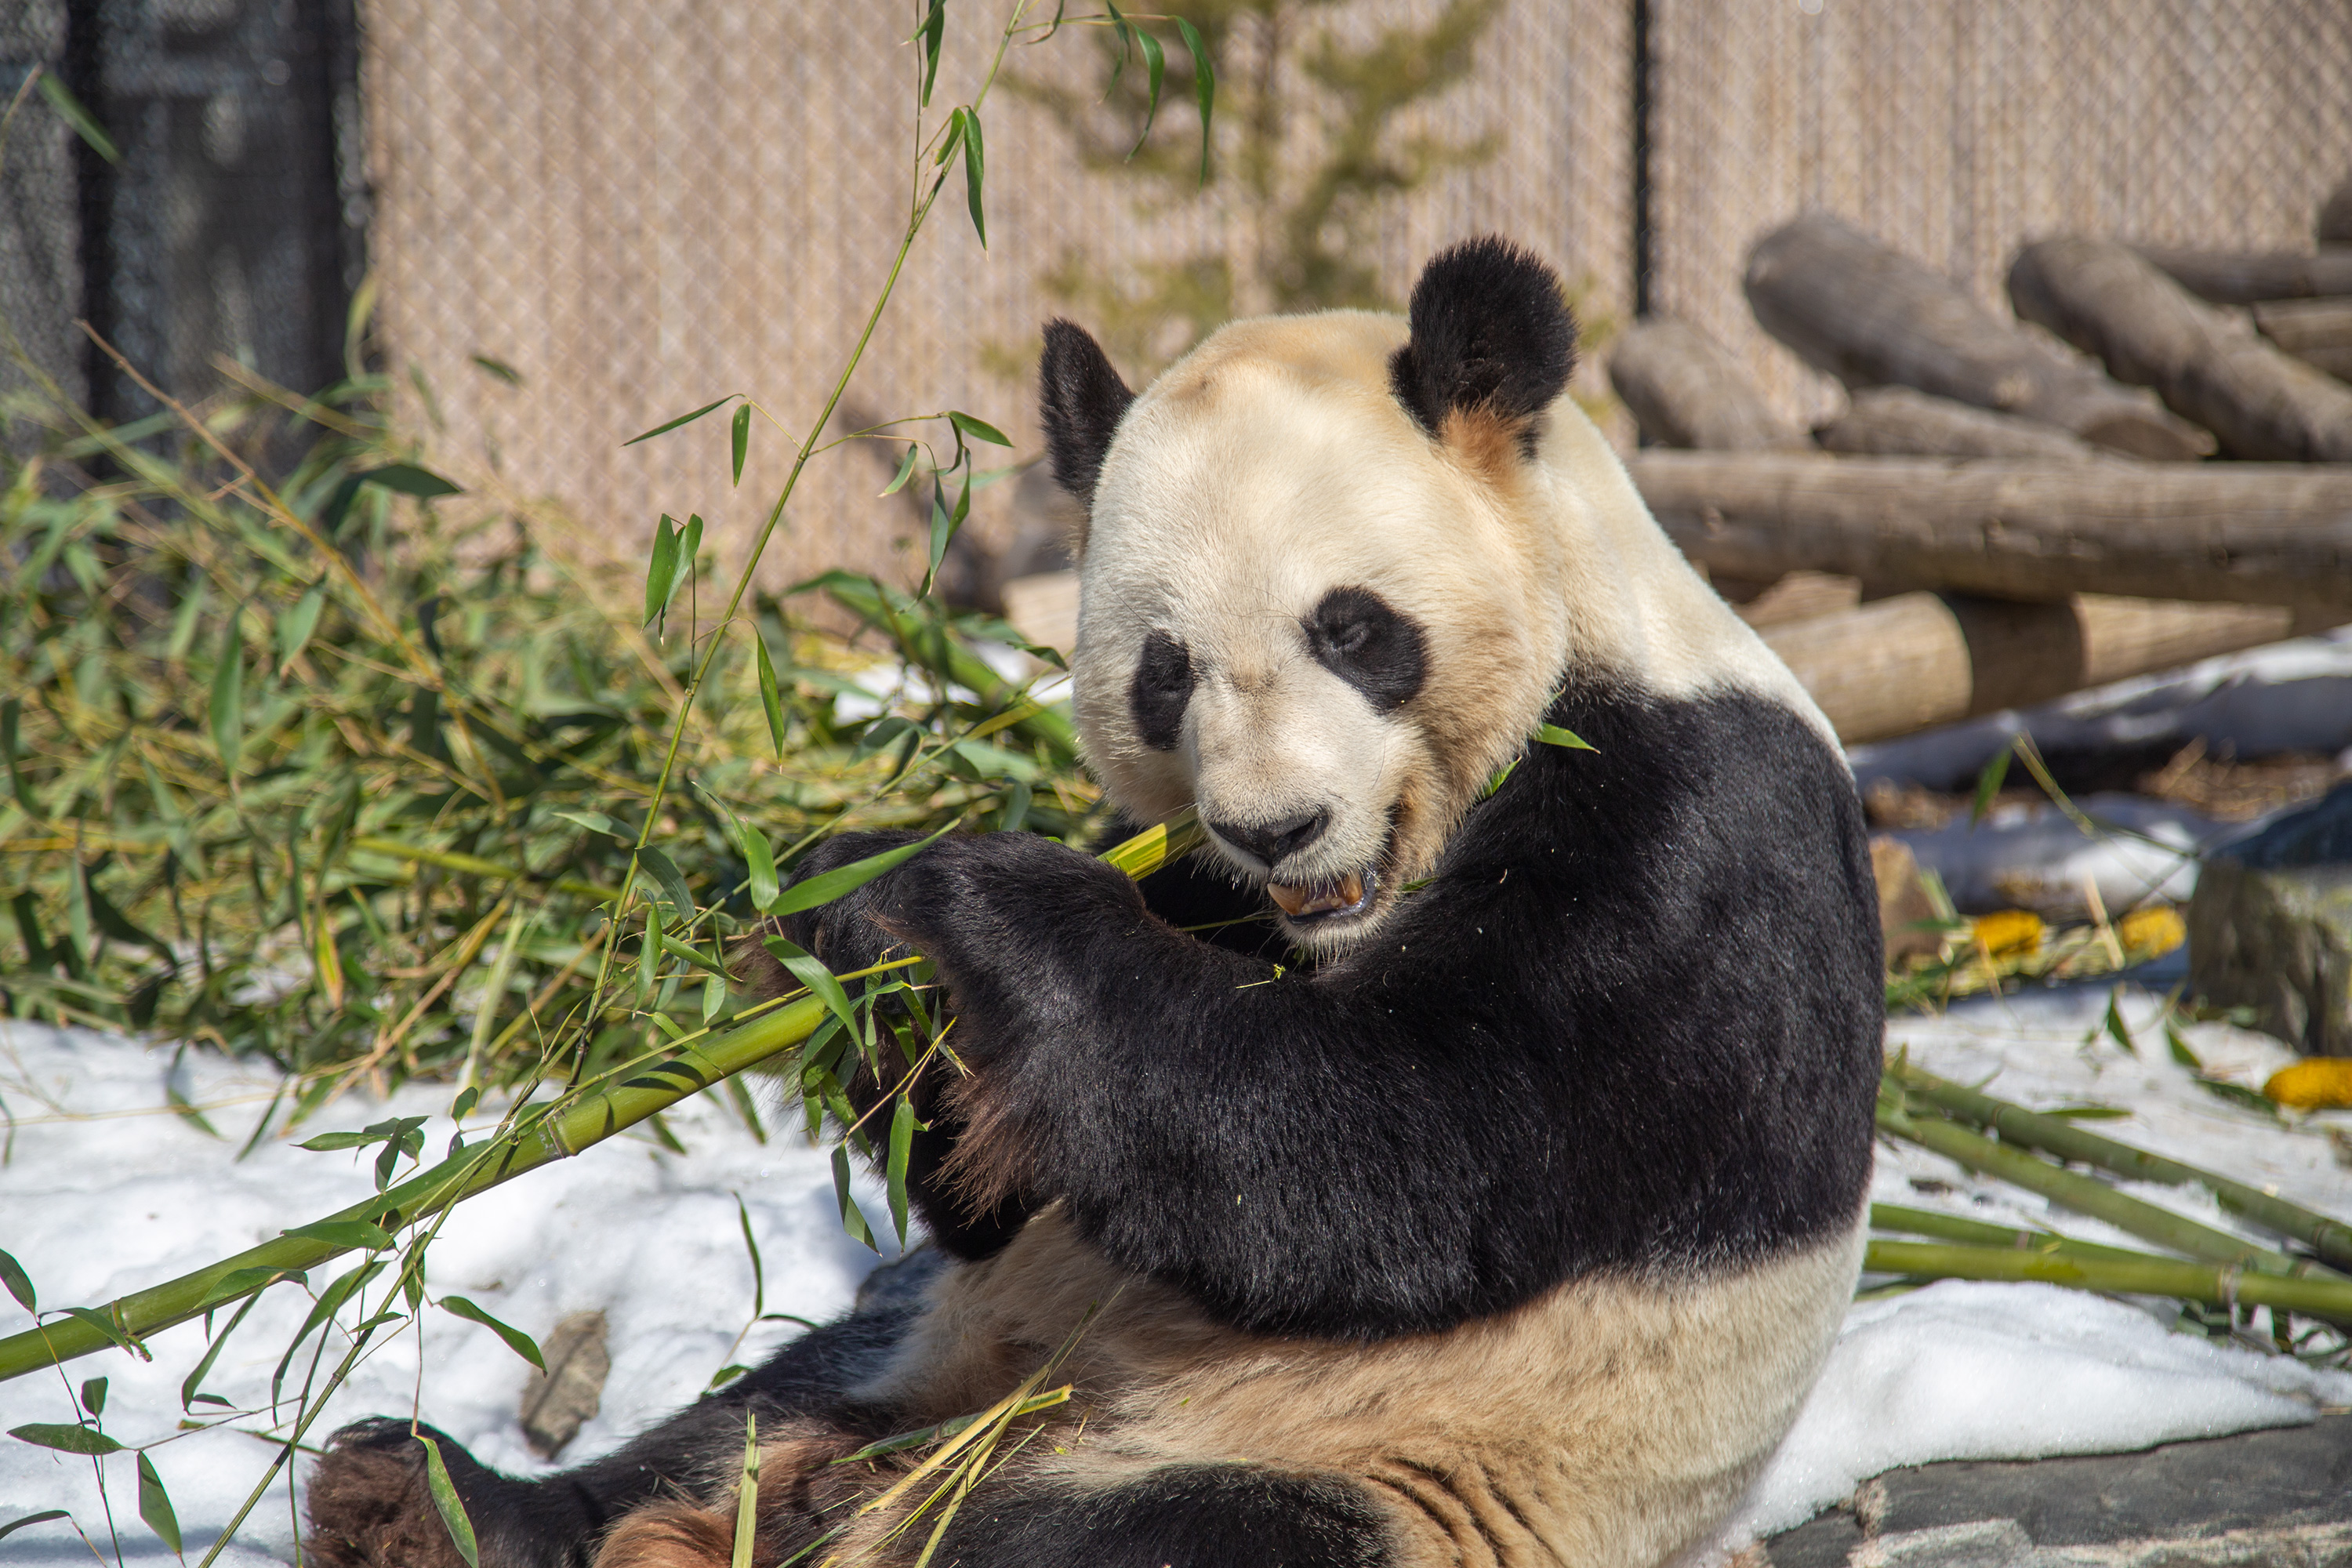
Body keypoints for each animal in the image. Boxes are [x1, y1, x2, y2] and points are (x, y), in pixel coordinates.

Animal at [304, 237, 1883, 1568]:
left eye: (1352, 628)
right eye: (1163, 672)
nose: (1275, 827)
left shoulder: (1685, 847)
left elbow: (1397, 1152)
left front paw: (964, 891)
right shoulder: (1183, 875)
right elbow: (1013, 1173)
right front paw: (848, 920)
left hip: (1396, 1467)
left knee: (1129, 1540)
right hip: (965, 1336)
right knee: (742, 1414)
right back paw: (430, 1502)